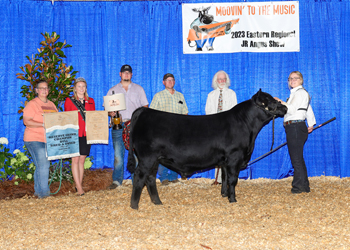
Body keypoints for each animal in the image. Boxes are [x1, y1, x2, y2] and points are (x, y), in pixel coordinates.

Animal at [127, 90, 286, 209]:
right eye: (268, 100)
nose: (284, 107)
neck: (246, 125)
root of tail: (144, 111)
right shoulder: (234, 157)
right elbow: (233, 179)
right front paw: (233, 200)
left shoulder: (225, 160)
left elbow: (224, 177)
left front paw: (224, 195)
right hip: (147, 157)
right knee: (139, 177)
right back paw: (134, 206)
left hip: (154, 159)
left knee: (150, 178)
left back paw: (157, 202)